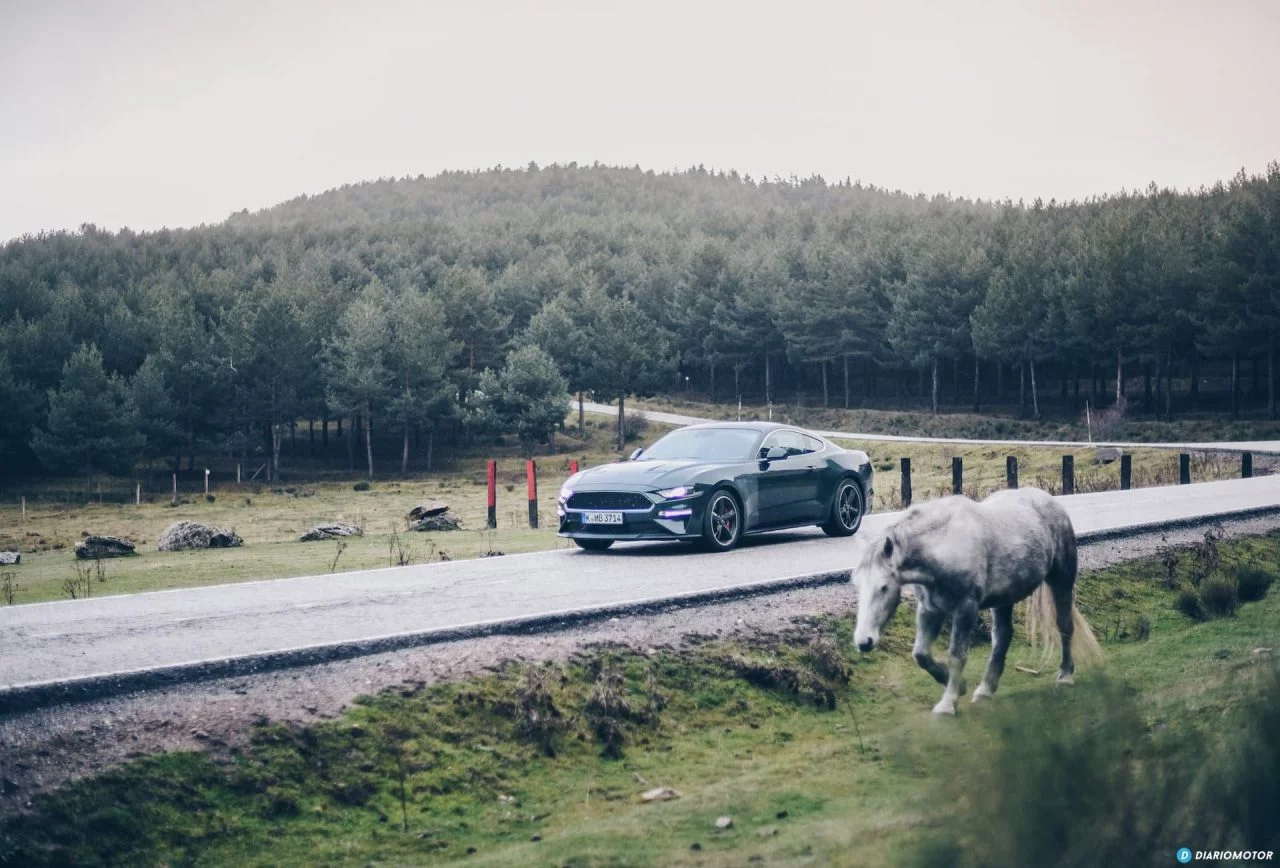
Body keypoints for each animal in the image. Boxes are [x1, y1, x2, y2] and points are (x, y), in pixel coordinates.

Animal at [849, 486, 1100, 716]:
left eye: (883, 587)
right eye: (857, 585)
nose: (864, 641)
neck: (944, 546)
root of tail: (1049, 500)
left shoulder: (965, 608)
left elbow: (957, 655)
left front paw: (947, 703)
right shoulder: (930, 609)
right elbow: (921, 654)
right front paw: (958, 687)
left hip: (1061, 582)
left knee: (1064, 627)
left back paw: (1065, 676)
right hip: (1004, 599)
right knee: (1002, 637)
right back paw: (985, 690)